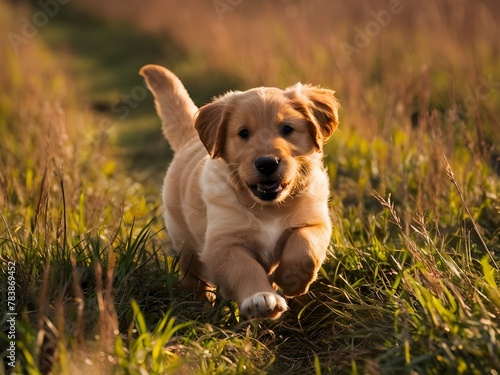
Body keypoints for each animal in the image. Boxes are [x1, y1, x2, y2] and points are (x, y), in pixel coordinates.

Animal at [139, 65, 338, 320]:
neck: (269, 208)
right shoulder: (222, 243)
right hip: (183, 240)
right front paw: (261, 298)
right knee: (192, 274)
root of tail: (190, 140)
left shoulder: (315, 222)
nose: (267, 163)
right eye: (243, 133)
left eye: (287, 129)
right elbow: (245, 268)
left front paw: (291, 281)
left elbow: (304, 246)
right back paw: (201, 303)